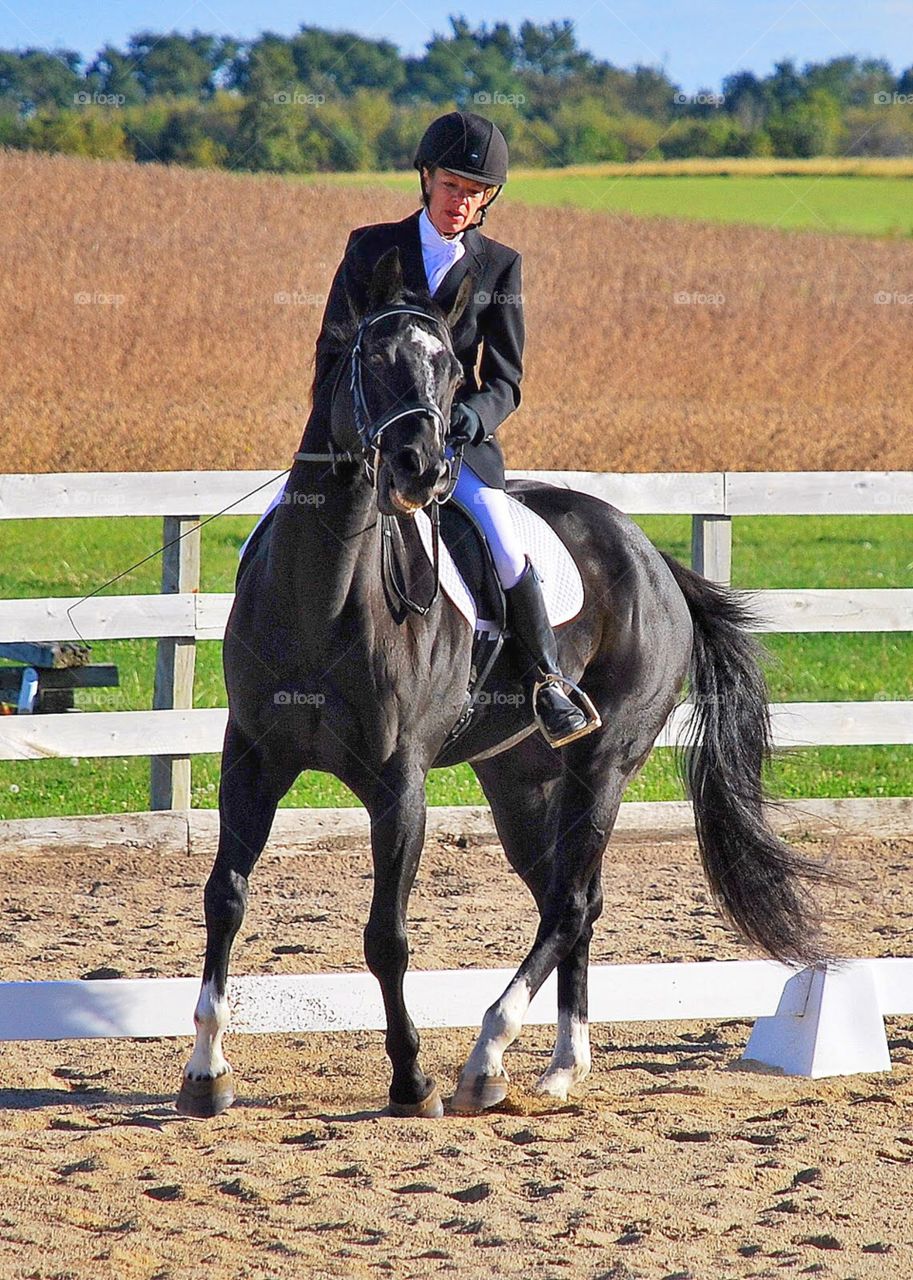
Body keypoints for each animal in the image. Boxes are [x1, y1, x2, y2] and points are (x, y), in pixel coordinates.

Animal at [177, 245, 830, 1120]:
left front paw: (410, 1080)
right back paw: (559, 1067)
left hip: (603, 762)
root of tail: (651, 557)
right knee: (572, 898)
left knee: (568, 902)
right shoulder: (250, 758)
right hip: (518, 777)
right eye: (370, 358)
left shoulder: (399, 783)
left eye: (453, 369)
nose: (422, 467)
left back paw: (487, 1057)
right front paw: (205, 1071)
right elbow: (225, 897)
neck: (323, 592)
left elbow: (386, 934)